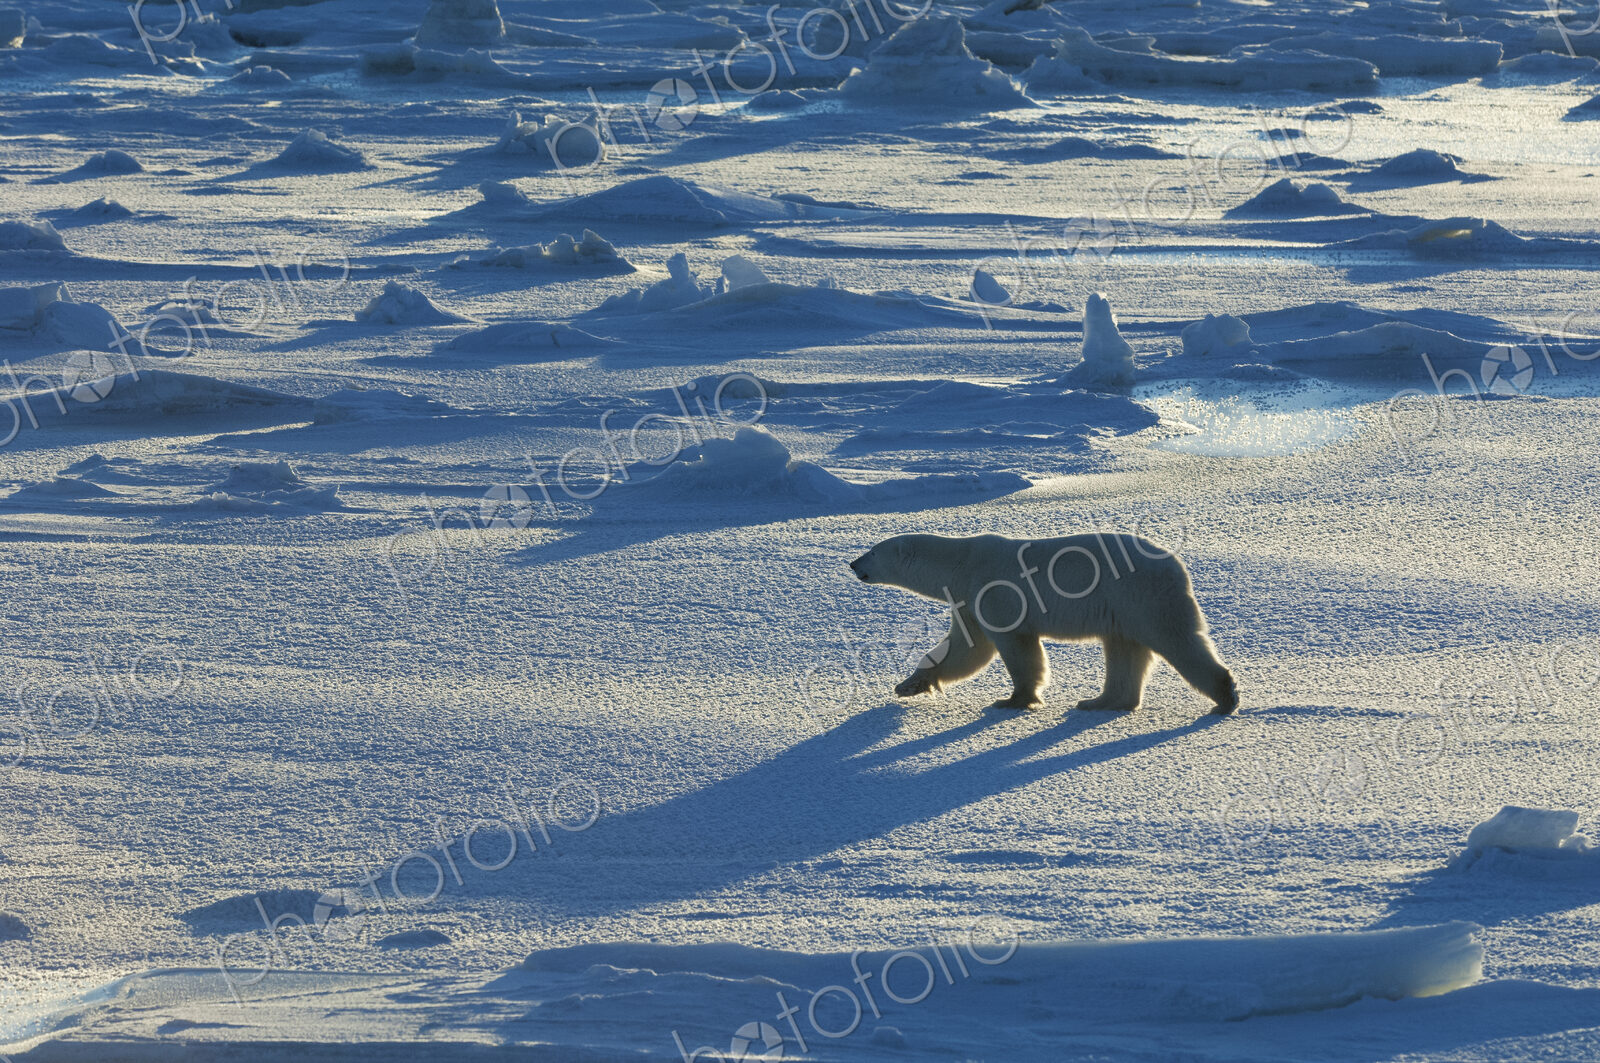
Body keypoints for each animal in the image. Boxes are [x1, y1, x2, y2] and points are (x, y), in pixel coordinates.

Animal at [849, 532, 1236, 714]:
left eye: (872, 551)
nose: (852, 563)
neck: (962, 563)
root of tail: (1176, 566)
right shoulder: (967, 601)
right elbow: (964, 650)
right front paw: (909, 684)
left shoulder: (995, 592)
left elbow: (1014, 648)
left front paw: (1013, 699)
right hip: (1122, 609)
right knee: (1124, 651)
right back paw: (1100, 701)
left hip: (1142, 596)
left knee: (1177, 640)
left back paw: (1225, 695)